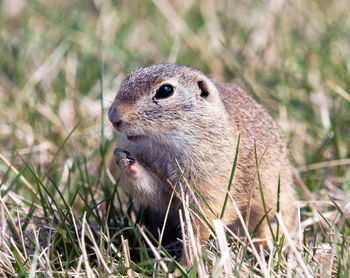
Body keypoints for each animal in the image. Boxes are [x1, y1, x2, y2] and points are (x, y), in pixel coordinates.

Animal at [108, 64, 296, 262]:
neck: (163, 147)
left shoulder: (209, 181)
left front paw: (188, 263)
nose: (113, 116)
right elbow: (157, 192)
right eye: (126, 79)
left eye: (165, 91)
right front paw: (124, 160)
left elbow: (201, 222)